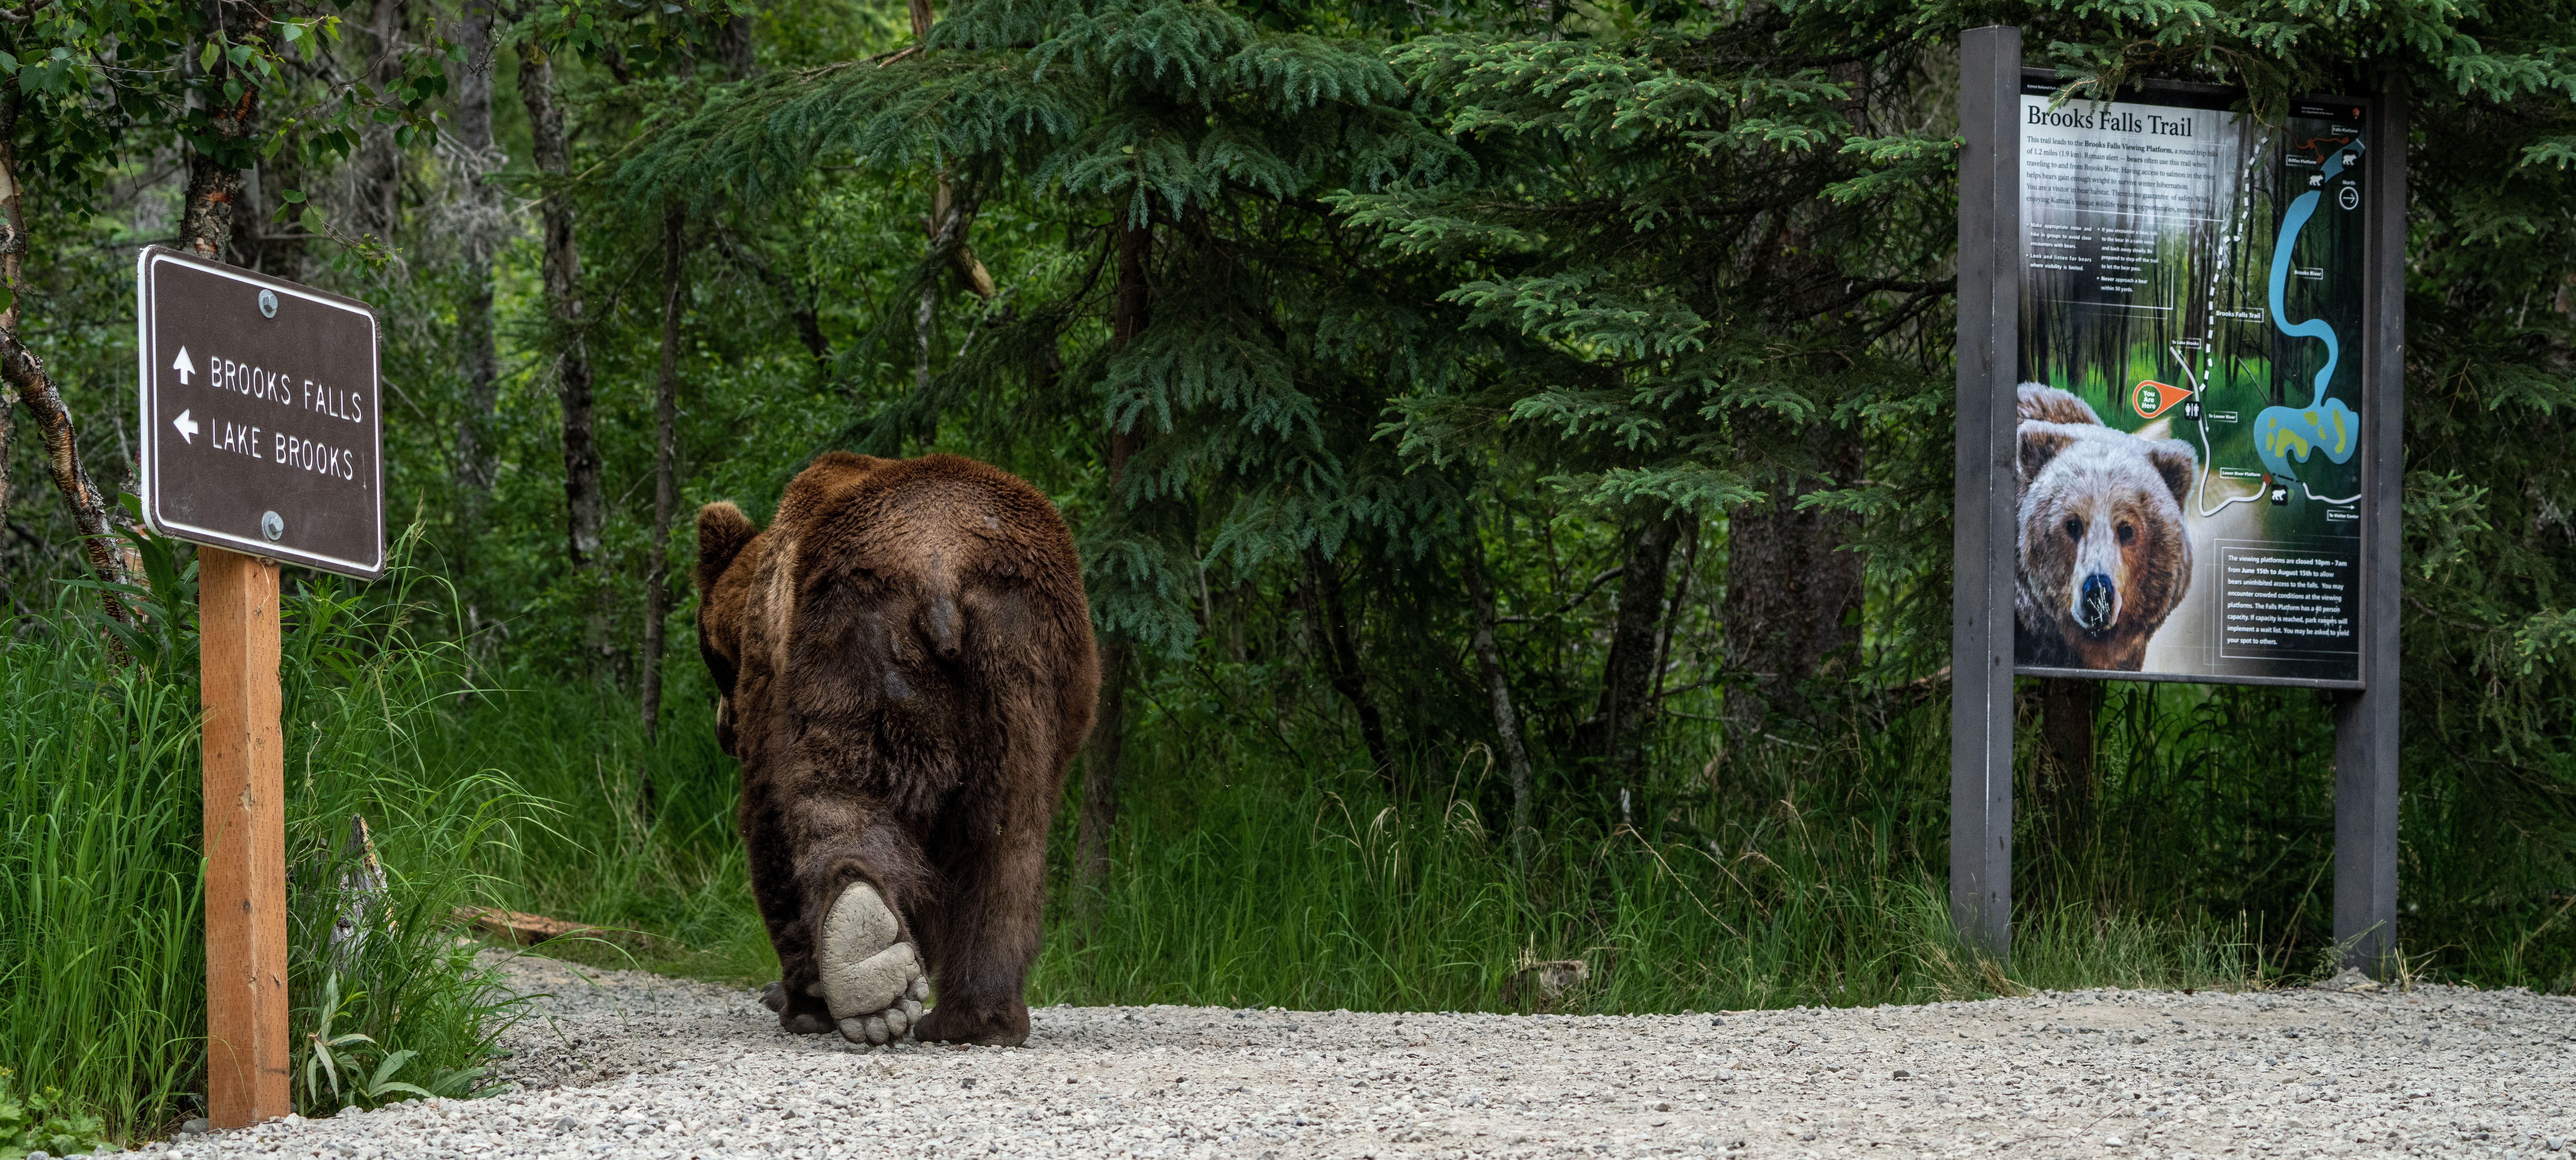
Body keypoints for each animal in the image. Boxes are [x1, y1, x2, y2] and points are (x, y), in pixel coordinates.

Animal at [694, 452, 1098, 1047]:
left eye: (712, 657)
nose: (724, 728)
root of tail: (943, 571)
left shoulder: (773, 680)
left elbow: (768, 821)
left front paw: (796, 998)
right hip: (1025, 662)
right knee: (1007, 840)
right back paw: (974, 1018)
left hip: (856, 644)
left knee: (841, 793)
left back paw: (859, 959)